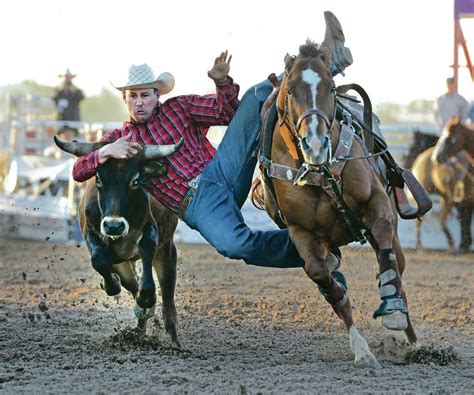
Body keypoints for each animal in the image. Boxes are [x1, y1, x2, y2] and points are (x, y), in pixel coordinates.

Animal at [254, 13, 420, 372]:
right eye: (291, 91)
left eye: (331, 87)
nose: (316, 144)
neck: (321, 172)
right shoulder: (301, 232)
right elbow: (324, 278)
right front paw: (361, 348)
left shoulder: (377, 204)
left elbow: (383, 242)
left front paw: (393, 311)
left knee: (397, 266)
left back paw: (414, 339)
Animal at [412, 117, 474, 254]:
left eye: (449, 137)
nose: (436, 157)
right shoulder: (463, 200)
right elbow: (465, 220)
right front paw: (464, 245)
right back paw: (420, 246)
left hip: (445, 197)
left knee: (441, 219)